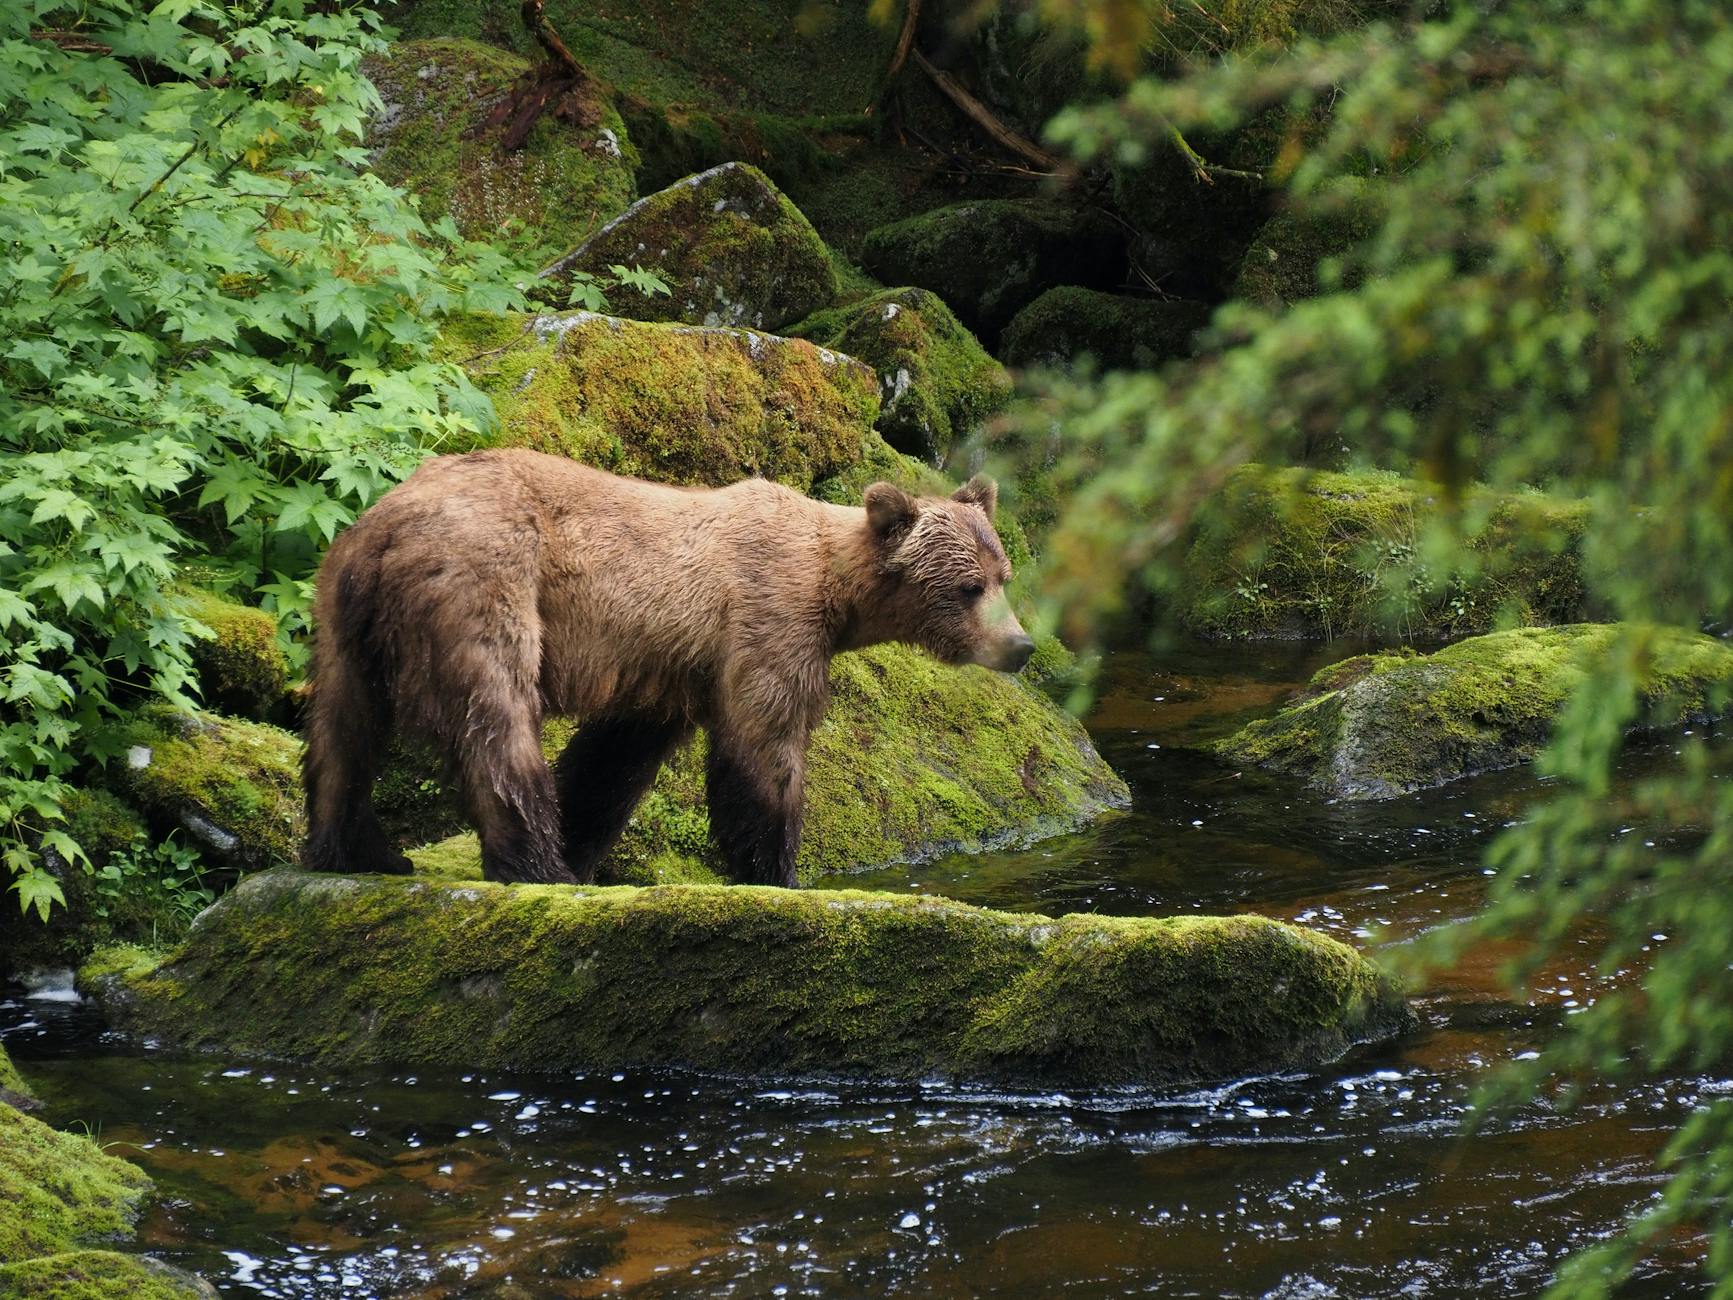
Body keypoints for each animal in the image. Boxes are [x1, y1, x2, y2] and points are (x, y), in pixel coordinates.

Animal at [301, 449, 1035, 888]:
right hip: (486, 579)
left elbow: (612, 759)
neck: (835, 590)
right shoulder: (767, 620)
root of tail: (387, 526)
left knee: (341, 731)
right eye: (968, 587)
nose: (1021, 645)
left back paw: (356, 849)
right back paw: (536, 864)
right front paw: (775, 869)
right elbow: (764, 744)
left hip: (344, 612)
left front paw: (584, 838)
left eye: (1003, 574)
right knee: (497, 719)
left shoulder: (668, 666)